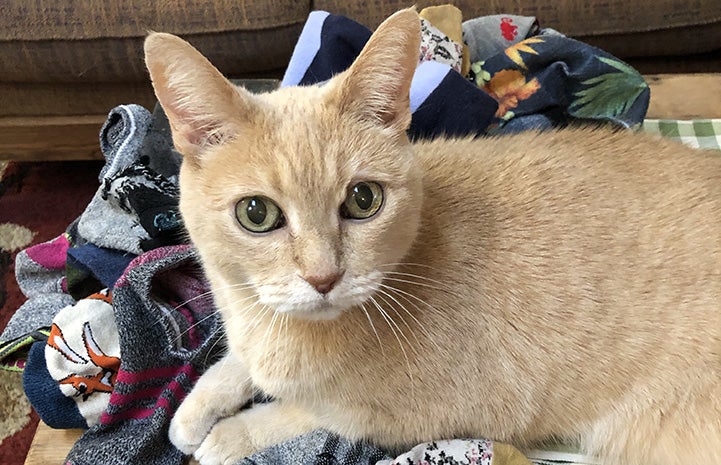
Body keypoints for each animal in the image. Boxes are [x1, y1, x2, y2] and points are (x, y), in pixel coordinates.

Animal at [143, 8, 720, 465]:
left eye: (363, 200)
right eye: (256, 213)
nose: (324, 277)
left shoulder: (415, 417)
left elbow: (304, 414)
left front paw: (228, 436)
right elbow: (237, 363)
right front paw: (197, 407)